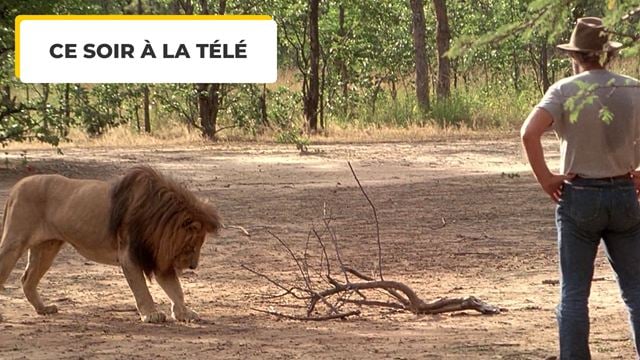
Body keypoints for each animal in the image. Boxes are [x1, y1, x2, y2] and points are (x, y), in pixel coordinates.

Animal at [0, 166, 221, 324]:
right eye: (192, 245)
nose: (193, 266)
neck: (157, 218)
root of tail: (16, 187)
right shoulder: (129, 255)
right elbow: (142, 289)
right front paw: (151, 314)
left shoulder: (157, 257)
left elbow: (175, 289)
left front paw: (183, 312)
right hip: (14, 242)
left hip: (47, 248)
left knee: (27, 279)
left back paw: (43, 309)